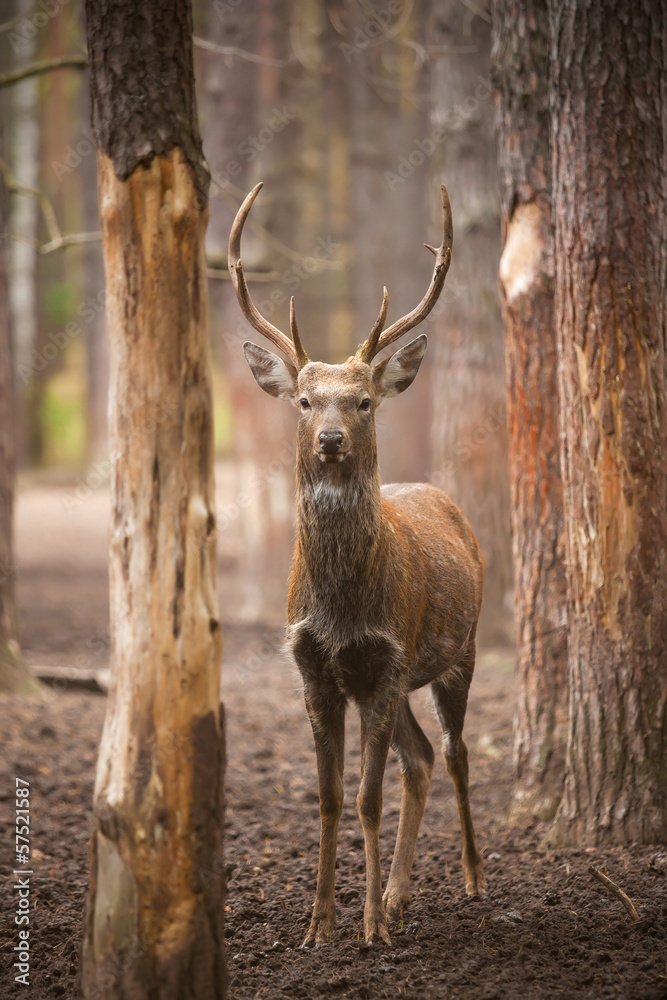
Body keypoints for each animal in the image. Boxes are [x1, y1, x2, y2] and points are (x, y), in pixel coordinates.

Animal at [228, 182, 486, 948]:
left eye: (364, 400)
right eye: (305, 400)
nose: (332, 439)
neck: (342, 611)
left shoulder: (387, 656)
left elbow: (368, 799)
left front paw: (368, 926)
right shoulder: (315, 670)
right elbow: (330, 799)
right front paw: (320, 924)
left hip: (457, 651)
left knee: (453, 754)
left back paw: (468, 879)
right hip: (396, 683)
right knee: (420, 758)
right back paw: (399, 896)